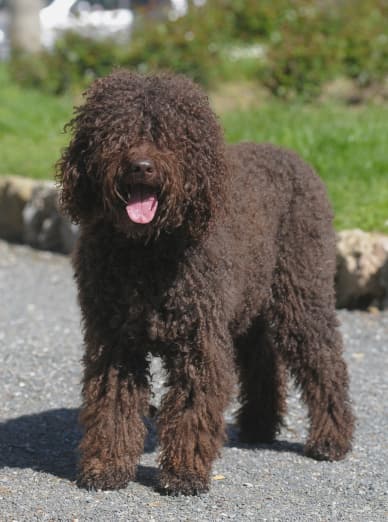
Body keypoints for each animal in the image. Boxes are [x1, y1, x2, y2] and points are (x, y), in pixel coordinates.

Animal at [57, 71, 354, 494]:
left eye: (171, 133)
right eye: (115, 131)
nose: (141, 167)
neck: (147, 252)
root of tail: (292, 155)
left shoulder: (199, 340)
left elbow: (191, 407)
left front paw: (183, 474)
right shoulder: (113, 342)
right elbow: (112, 403)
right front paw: (107, 467)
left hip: (300, 295)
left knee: (325, 363)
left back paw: (331, 439)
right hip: (250, 304)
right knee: (263, 362)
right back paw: (259, 426)